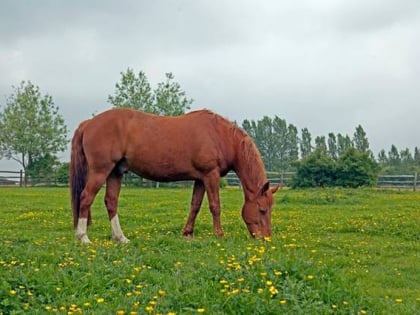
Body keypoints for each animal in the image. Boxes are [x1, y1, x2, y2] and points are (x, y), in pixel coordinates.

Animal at [69, 108, 278, 244]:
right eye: (262, 210)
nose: (266, 238)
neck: (220, 136)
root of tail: (88, 123)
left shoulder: (200, 179)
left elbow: (195, 205)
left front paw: (187, 233)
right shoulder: (211, 175)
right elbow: (215, 205)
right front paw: (219, 234)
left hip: (115, 172)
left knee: (111, 202)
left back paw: (120, 238)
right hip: (100, 171)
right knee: (86, 198)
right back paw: (83, 237)